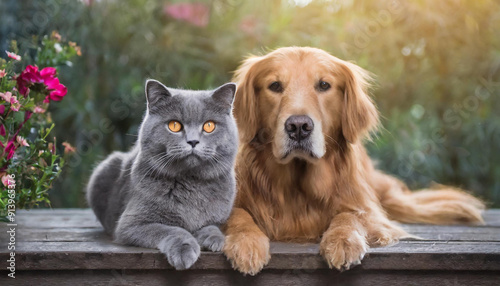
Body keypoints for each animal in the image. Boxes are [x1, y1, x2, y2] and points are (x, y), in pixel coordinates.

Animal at [87, 80, 239, 270]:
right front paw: (184, 250)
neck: (191, 183)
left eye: (209, 126)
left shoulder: (221, 218)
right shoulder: (131, 224)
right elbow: (171, 229)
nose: (193, 141)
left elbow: (211, 225)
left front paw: (213, 238)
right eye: (174, 125)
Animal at [222, 46, 484, 274]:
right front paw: (246, 243)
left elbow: (350, 215)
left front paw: (343, 240)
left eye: (324, 85)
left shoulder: (366, 208)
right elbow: (238, 215)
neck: (297, 186)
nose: (298, 127)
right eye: (275, 86)